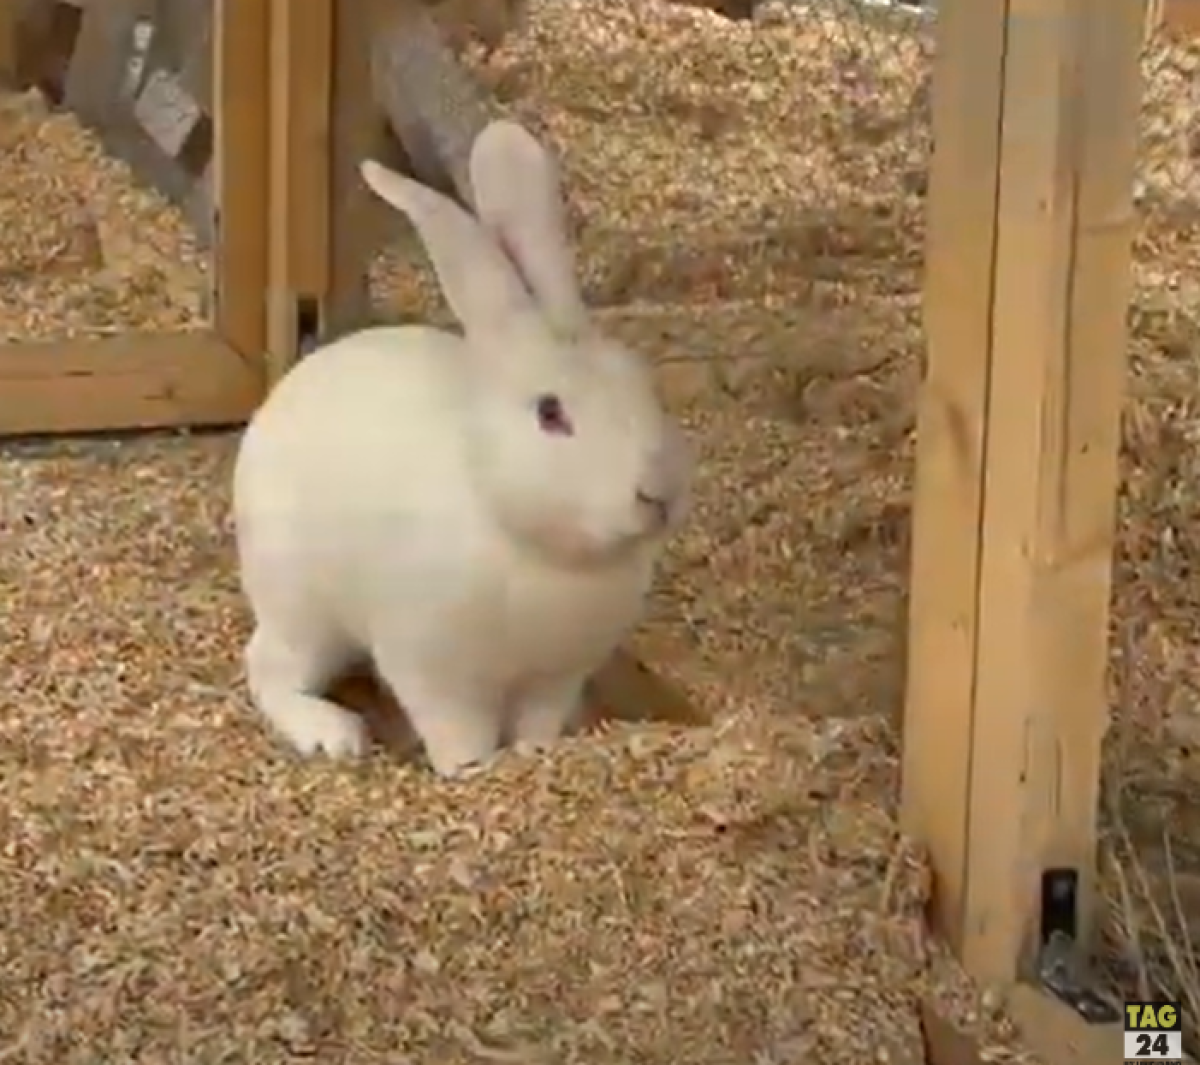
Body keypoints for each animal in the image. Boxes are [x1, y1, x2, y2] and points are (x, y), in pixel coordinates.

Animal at [230, 120, 696, 777]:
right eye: (550, 413)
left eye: (644, 383)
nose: (658, 493)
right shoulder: (436, 671)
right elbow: (460, 734)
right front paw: (468, 773)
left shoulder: (552, 681)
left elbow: (536, 729)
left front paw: (534, 756)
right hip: (302, 606)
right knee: (270, 667)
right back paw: (333, 734)